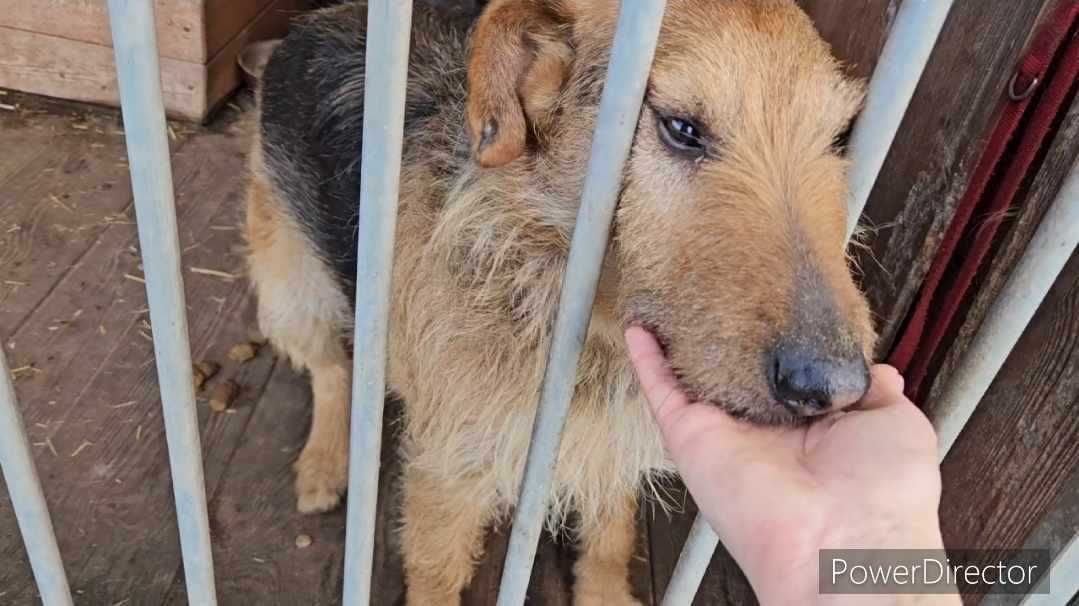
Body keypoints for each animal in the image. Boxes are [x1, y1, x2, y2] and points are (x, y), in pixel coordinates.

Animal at [244, 2, 876, 599]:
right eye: (681, 128)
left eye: (836, 139)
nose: (836, 388)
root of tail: (313, 22)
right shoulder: (449, 470)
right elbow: (435, 572)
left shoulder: (611, 446)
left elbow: (611, 535)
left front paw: (605, 594)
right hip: (292, 292)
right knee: (330, 367)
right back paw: (325, 462)